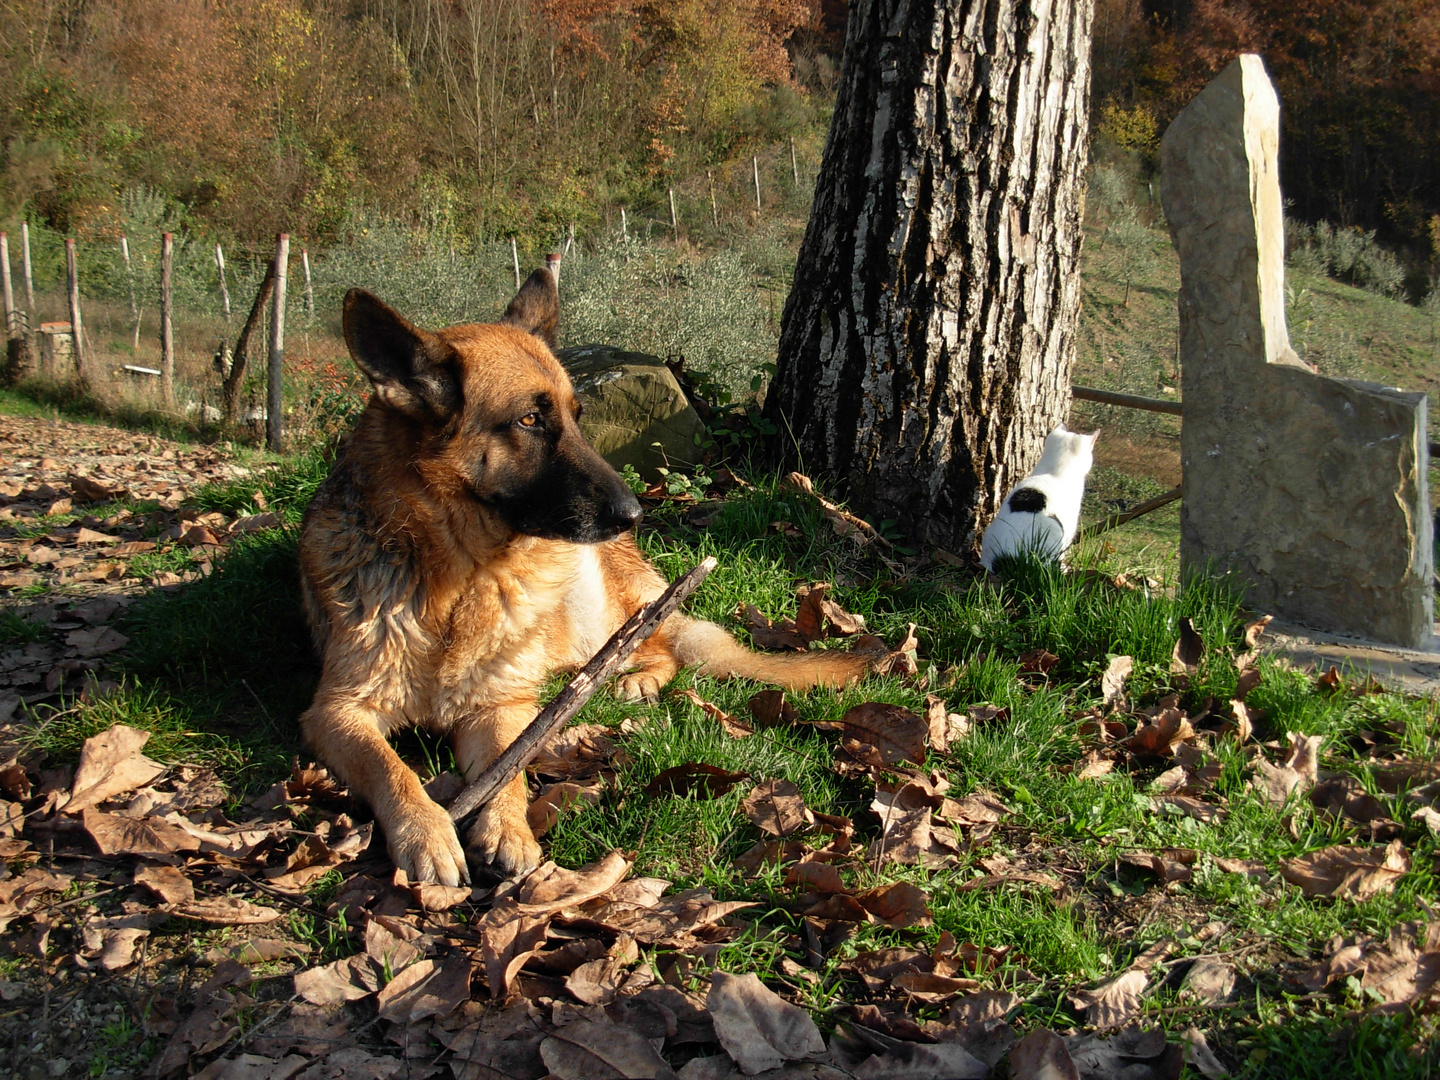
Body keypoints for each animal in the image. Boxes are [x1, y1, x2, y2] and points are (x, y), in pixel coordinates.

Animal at [298, 270, 869, 887]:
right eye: (529, 420)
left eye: (576, 415)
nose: (634, 513)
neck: (458, 579)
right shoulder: (335, 712)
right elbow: (390, 767)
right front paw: (426, 831)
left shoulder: (501, 706)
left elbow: (508, 772)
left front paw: (509, 828)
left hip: (590, 608)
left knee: (658, 644)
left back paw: (638, 678)